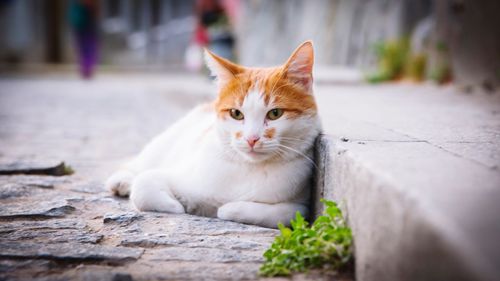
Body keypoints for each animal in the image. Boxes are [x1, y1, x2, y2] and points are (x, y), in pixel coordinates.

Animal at [107, 40, 322, 228]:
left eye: (275, 113)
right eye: (236, 113)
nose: (251, 139)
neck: (249, 169)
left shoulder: (301, 206)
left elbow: (284, 213)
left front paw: (228, 208)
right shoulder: (182, 174)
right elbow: (145, 183)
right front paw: (175, 206)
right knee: (141, 164)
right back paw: (123, 181)